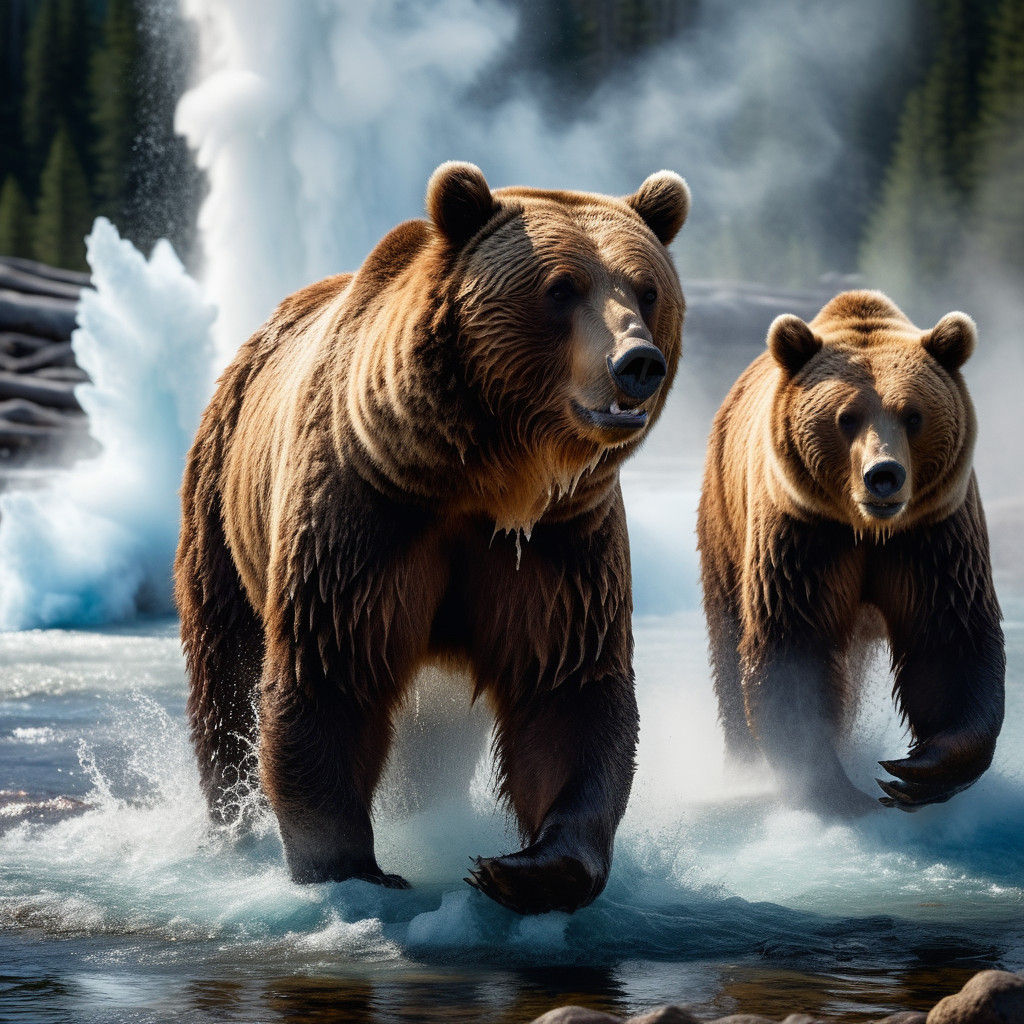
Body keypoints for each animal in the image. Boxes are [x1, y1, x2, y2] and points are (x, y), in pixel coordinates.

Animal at [175, 161, 690, 913]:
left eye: (647, 289)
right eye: (560, 288)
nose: (636, 362)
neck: (487, 478)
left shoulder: (558, 546)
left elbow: (568, 690)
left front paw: (522, 868)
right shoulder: (367, 517)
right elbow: (328, 670)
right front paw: (352, 868)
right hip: (221, 507)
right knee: (225, 668)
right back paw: (232, 828)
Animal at [697, 290, 1005, 816]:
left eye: (913, 415)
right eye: (846, 417)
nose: (884, 475)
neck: (868, 530)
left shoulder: (932, 536)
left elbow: (949, 639)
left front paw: (914, 772)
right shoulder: (805, 535)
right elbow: (791, 646)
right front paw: (837, 788)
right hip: (725, 522)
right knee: (730, 637)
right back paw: (743, 763)